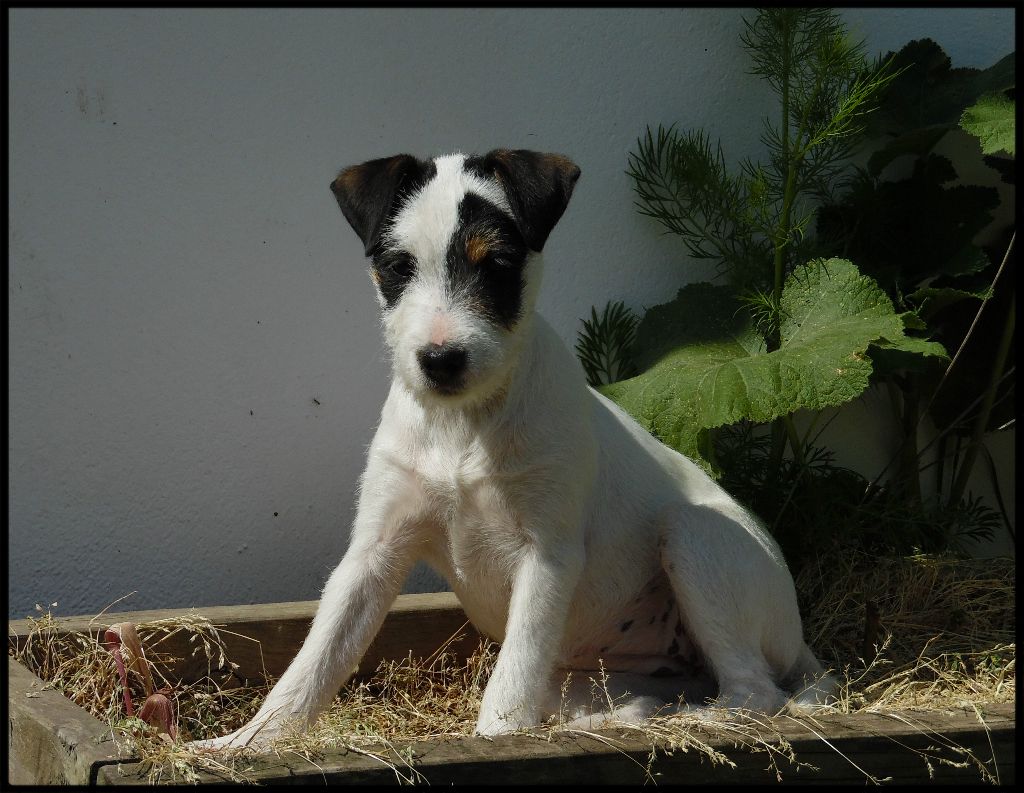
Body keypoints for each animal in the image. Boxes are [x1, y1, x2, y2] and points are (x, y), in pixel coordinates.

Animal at [195, 149, 835, 749]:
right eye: (397, 267)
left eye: (498, 265)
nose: (441, 359)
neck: (465, 426)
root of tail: (801, 641)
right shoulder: (373, 553)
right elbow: (315, 660)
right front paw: (245, 743)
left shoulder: (546, 556)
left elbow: (511, 680)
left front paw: (494, 740)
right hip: (588, 677)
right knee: (642, 697)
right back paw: (617, 721)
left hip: (694, 535)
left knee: (756, 691)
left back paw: (698, 720)